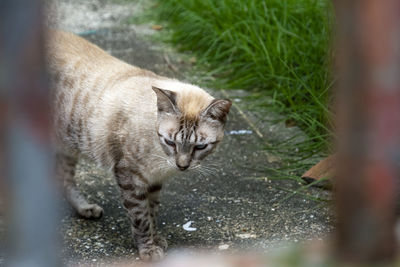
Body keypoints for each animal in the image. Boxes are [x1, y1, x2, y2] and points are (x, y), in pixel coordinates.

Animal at [46, 30, 231, 262]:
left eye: (199, 147)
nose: (182, 166)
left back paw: (85, 208)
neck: (160, 156)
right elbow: (141, 218)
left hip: (67, 146)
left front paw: (156, 239)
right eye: (170, 142)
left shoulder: (153, 181)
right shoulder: (130, 177)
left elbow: (152, 212)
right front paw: (148, 250)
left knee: (63, 177)